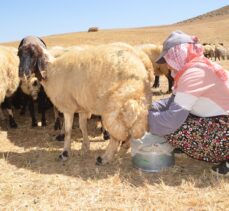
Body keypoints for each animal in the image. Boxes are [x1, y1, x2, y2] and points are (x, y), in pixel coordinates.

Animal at [18, 42, 152, 165]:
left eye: (33, 54)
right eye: (19, 55)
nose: (22, 74)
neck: (51, 70)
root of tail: (140, 64)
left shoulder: (68, 108)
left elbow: (68, 131)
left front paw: (65, 153)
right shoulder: (82, 107)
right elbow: (83, 127)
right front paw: (85, 147)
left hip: (117, 104)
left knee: (116, 135)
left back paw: (104, 158)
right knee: (133, 129)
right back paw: (125, 146)